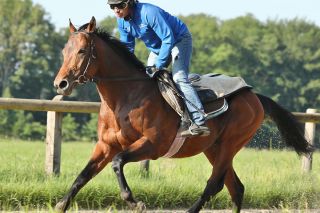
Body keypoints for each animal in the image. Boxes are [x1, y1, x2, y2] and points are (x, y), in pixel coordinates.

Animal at [53, 17, 314, 213]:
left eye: (82, 50)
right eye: (64, 50)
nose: (60, 83)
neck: (125, 97)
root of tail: (254, 95)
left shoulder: (153, 145)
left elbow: (118, 163)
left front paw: (135, 202)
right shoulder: (105, 145)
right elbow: (82, 177)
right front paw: (61, 204)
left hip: (231, 143)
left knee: (215, 185)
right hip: (213, 147)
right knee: (236, 188)